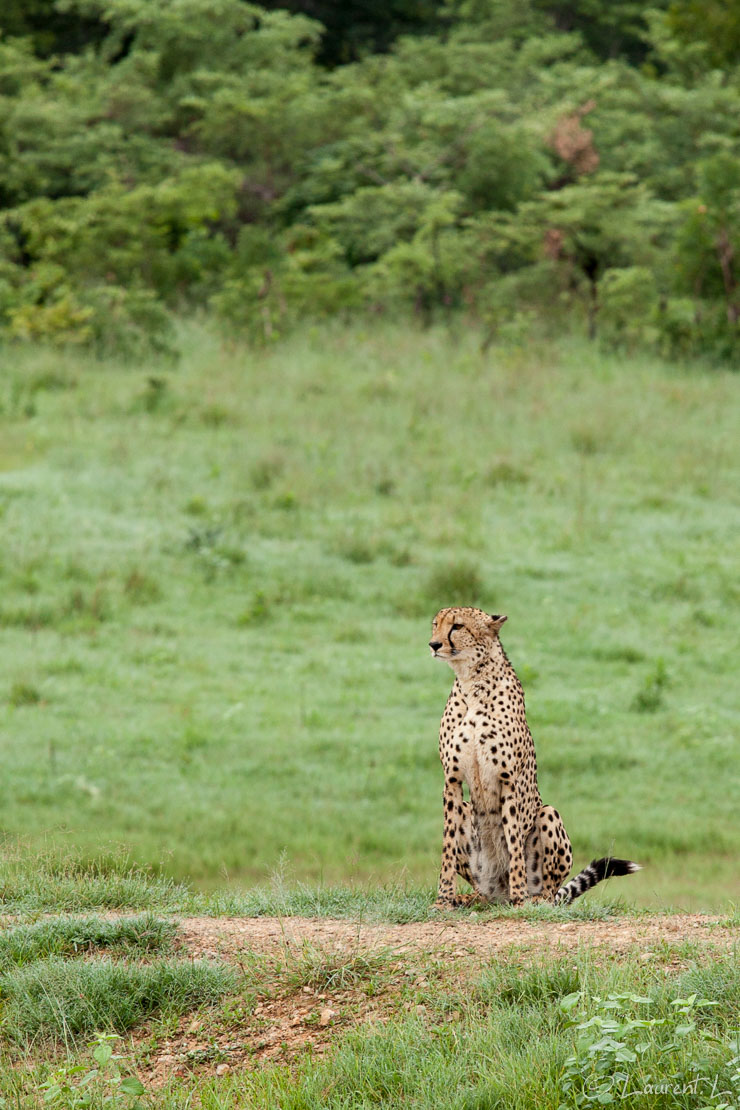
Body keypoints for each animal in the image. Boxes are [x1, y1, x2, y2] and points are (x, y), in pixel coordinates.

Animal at [430, 608, 639, 910]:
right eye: (436, 624)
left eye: (457, 626)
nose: (434, 644)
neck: (471, 682)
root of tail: (498, 893)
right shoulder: (452, 780)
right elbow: (447, 844)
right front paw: (444, 898)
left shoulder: (509, 780)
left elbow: (514, 842)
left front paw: (520, 897)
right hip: (472, 822)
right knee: (483, 889)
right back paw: (470, 897)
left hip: (548, 813)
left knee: (550, 890)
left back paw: (533, 898)